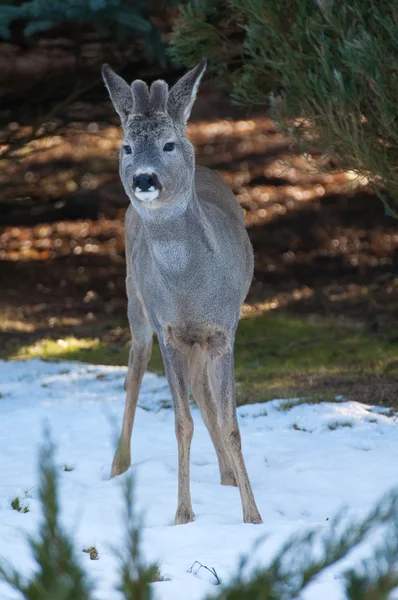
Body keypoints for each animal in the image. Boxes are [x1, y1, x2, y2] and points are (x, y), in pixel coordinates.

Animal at [102, 57, 262, 524]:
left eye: (169, 144)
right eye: (126, 148)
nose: (144, 179)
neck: (190, 289)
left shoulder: (223, 329)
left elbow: (230, 422)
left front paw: (253, 516)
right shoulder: (170, 330)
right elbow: (180, 423)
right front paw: (183, 515)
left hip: (200, 338)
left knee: (202, 390)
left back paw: (228, 476)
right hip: (136, 304)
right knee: (134, 370)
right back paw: (118, 465)